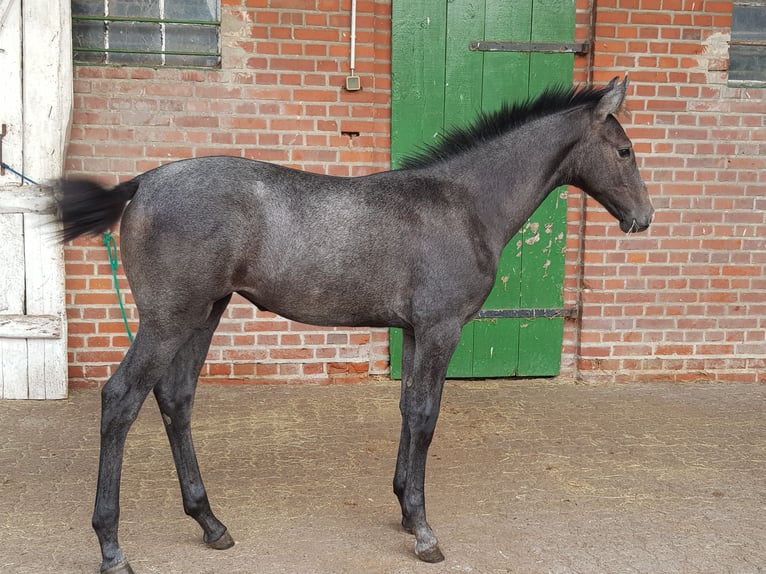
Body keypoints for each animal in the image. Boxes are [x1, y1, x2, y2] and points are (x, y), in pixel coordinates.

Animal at [57, 76, 653, 574]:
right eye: (624, 151)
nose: (643, 219)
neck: (463, 204)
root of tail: (142, 182)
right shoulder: (441, 328)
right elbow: (427, 416)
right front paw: (425, 532)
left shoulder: (413, 331)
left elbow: (410, 409)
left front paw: (406, 511)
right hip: (168, 320)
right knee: (121, 400)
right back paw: (112, 548)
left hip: (204, 314)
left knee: (176, 399)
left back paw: (211, 523)